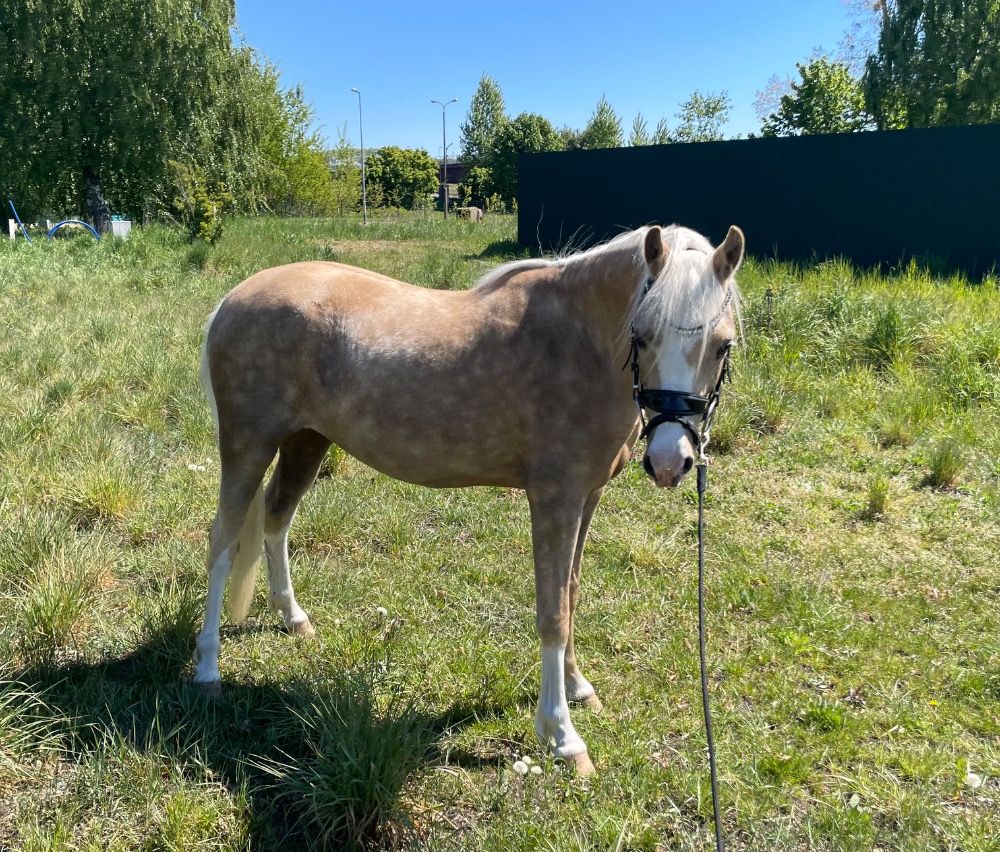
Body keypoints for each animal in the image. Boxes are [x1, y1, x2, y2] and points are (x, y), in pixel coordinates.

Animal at [192, 223, 744, 774]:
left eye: (722, 346)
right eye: (643, 335)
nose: (670, 460)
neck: (579, 341)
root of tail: (231, 301)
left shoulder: (588, 497)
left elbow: (570, 594)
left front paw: (578, 687)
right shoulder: (555, 499)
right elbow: (552, 613)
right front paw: (562, 737)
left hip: (306, 442)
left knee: (275, 518)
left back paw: (294, 618)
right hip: (248, 447)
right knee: (222, 544)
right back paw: (207, 671)